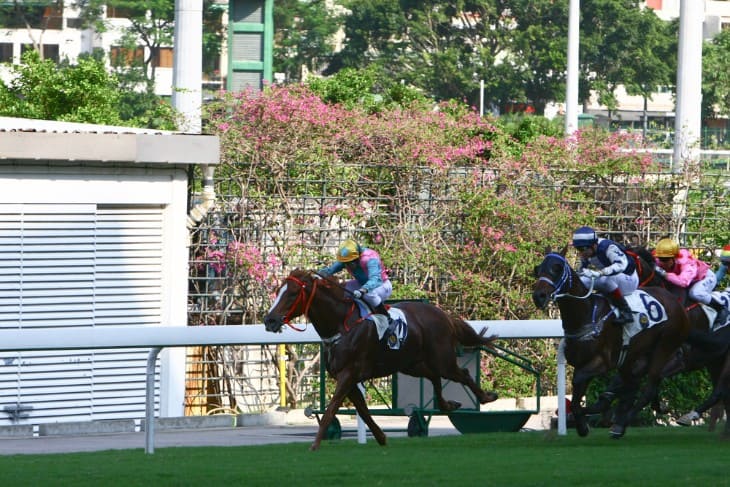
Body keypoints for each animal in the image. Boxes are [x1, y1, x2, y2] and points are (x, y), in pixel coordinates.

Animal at [264, 268, 498, 452]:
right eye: (278, 291)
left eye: (293, 293)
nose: (269, 320)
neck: (342, 324)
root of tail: (444, 314)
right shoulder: (348, 378)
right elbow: (363, 411)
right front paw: (382, 437)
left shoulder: (348, 374)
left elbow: (331, 409)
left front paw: (314, 445)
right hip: (411, 364)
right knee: (434, 377)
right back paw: (449, 404)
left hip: (441, 359)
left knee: (461, 374)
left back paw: (486, 396)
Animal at [528, 248, 688, 438]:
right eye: (538, 269)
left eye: (557, 268)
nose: (539, 296)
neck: (586, 315)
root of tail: (672, 299)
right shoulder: (583, 363)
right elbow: (576, 398)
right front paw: (583, 424)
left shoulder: (601, 362)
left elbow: (578, 386)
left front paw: (584, 421)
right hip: (634, 358)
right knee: (634, 384)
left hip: (663, 347)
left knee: (648, 388)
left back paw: (621, 424)